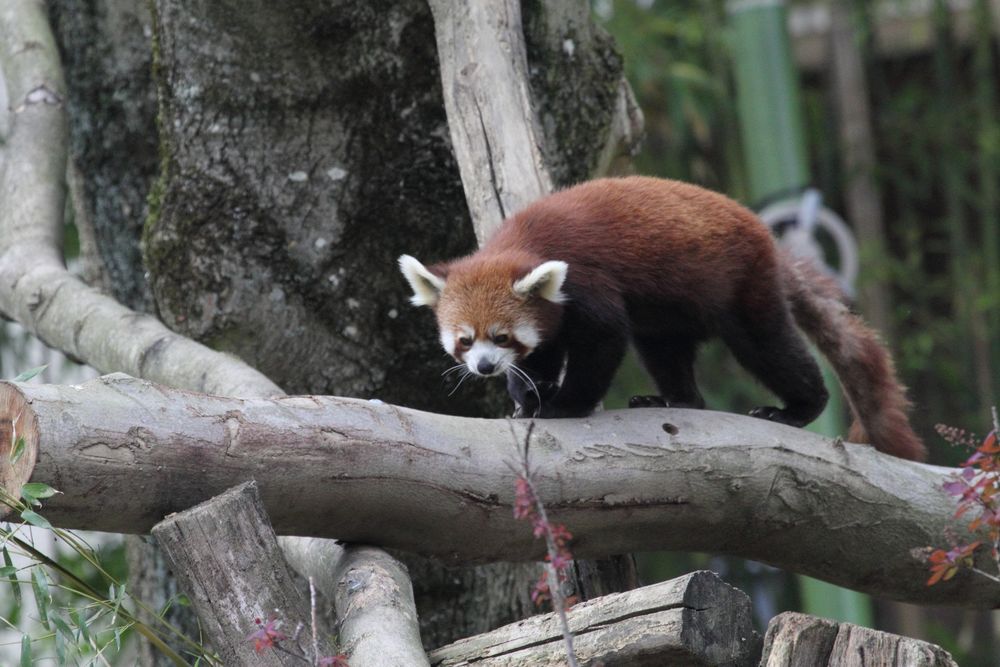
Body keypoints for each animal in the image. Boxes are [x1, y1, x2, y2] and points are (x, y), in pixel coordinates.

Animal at [400, 175, 928, 462]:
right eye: (466, 340)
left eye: (502, 336)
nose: (485, 367)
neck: (522, 240)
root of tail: (767, 236)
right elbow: (542, 356)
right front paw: (527, 398)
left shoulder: (588, 282)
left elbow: (604, 341)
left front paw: (563, 405)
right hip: (669, 315)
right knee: (664, 351)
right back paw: (676, 399)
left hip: (743, 282)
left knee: (767, 346)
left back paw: (799, 407)